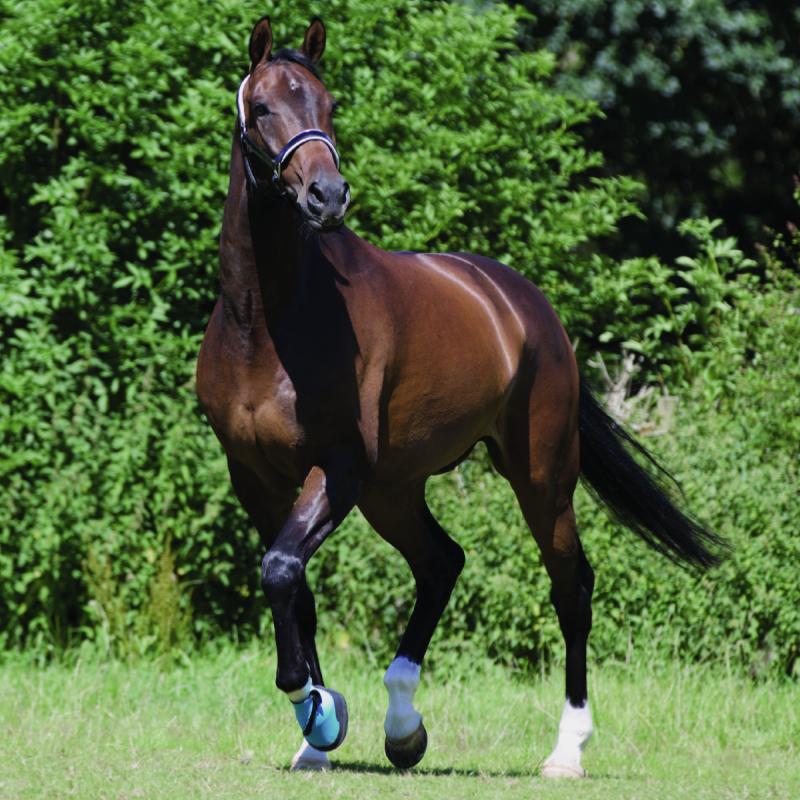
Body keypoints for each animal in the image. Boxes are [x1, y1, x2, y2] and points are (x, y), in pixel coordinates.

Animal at [196, 16, 722, 775]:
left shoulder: (338, 468)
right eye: (262, 106)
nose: (328, 197)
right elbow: (292, 586)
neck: (267, 321)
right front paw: (318, 730)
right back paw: (403, 727)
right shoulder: (256, 476)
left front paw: (317, 711)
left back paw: (566, 749)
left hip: (538, 475)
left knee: (571, 586)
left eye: (328, 105)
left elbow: (282, 570)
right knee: (442, 563)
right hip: (393, 489)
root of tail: (527, 306)